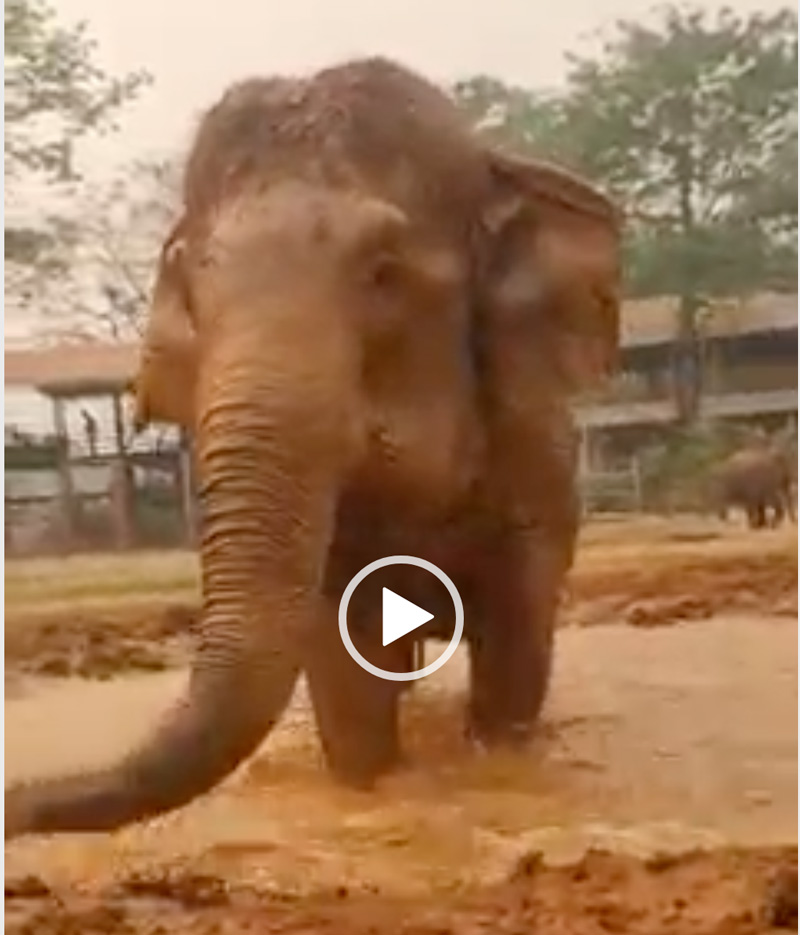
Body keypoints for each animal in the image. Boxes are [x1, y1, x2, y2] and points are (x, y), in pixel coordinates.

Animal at [3, 58, 620, 840]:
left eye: (384, 273)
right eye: (190, 287)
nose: (15, 805)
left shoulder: (531, 460)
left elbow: (515, 639)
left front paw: (500, 764)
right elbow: (345, 647)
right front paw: (369, 780)